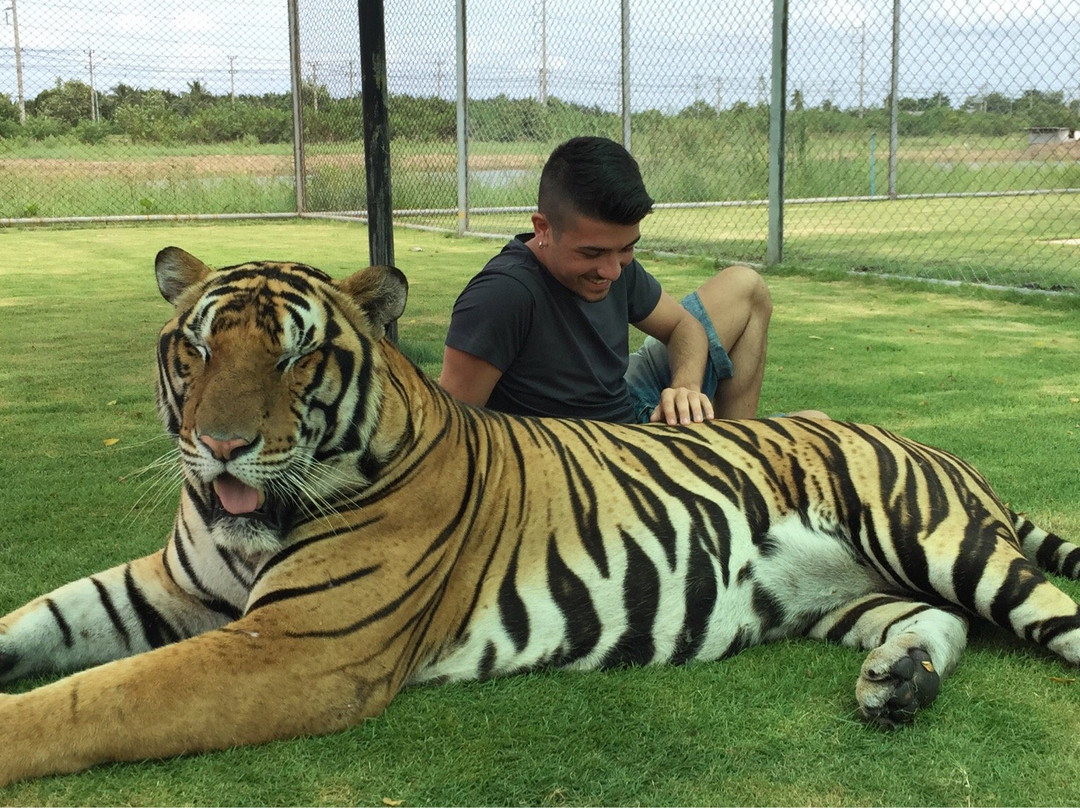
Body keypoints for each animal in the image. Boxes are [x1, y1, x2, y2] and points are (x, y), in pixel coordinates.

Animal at [2, 244, 1080, 782]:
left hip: (936, 536)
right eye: (196, 348)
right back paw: (899, 682)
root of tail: (944, 450)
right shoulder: (170, 587)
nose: (220, 445)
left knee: (1045, 616)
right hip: (846, 594)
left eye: (296, 354)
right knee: (937, 622)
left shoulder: (300, 647)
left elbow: (100, 697)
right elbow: (42, 622)